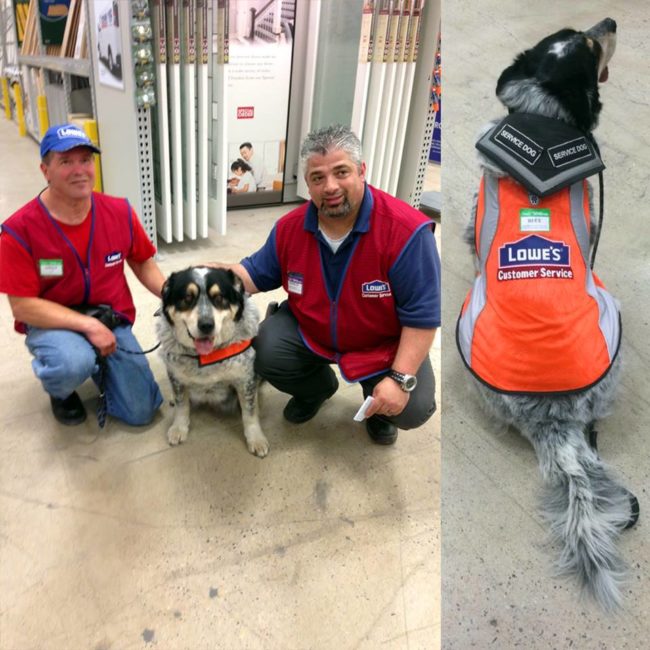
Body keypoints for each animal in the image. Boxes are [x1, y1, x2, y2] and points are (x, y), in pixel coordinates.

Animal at [157, 264, 268, 456]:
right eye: (187, 298)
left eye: (219, 297)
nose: (206, 325)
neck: (206, 356)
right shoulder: (177, 376)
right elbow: (182, 405)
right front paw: (178, 428)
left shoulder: (245, 379)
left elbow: (249, 412)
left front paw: (256, 438)